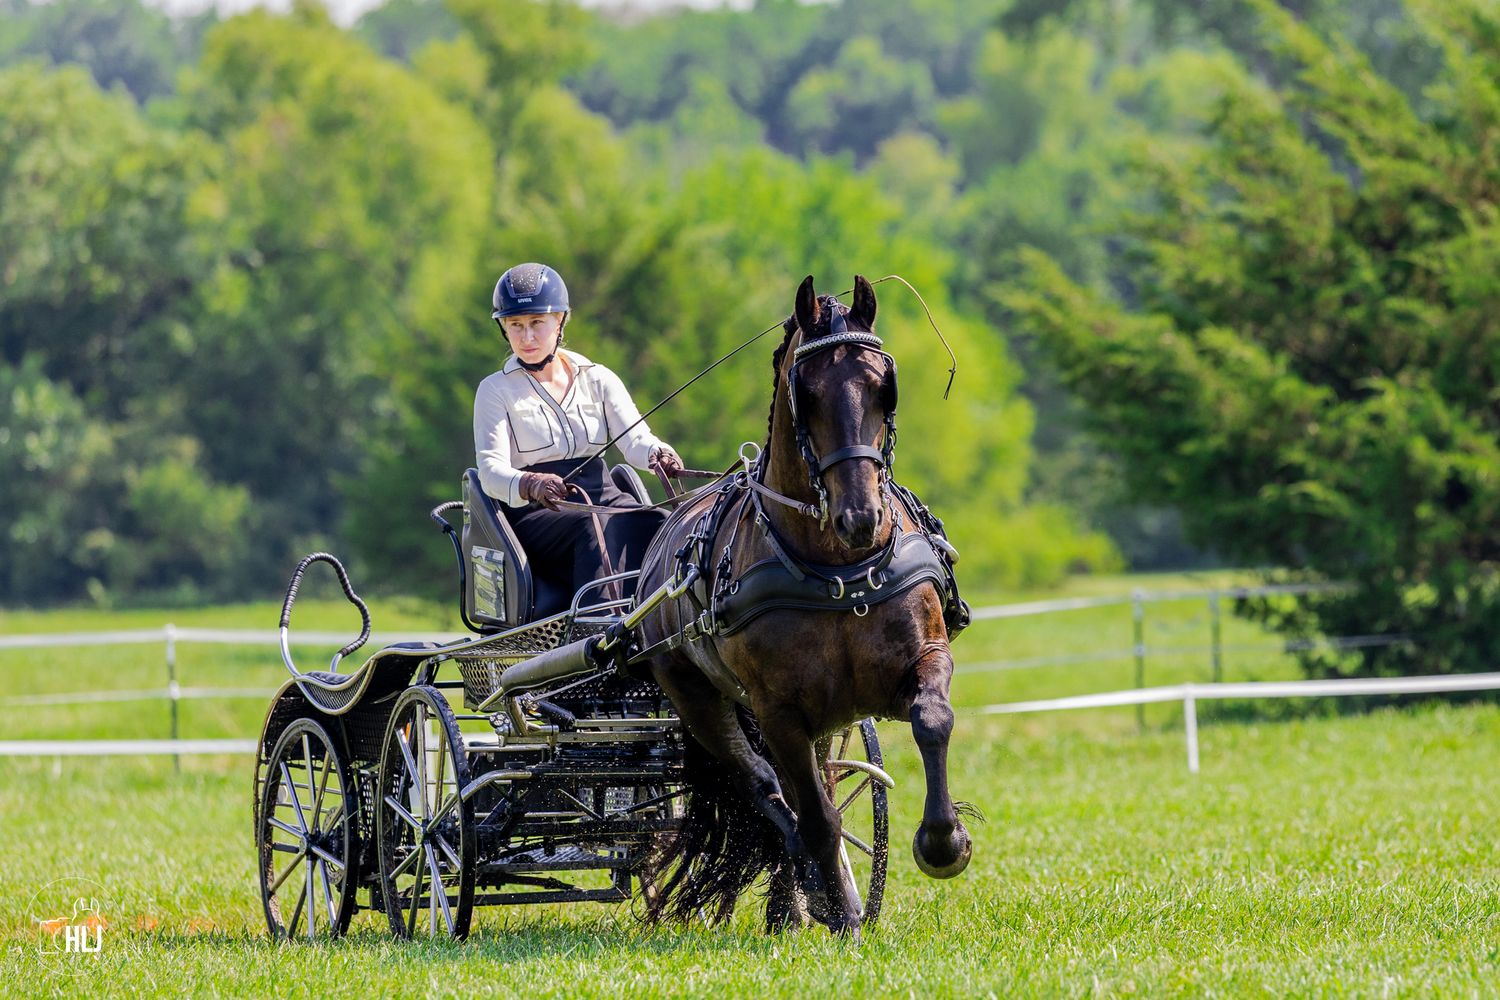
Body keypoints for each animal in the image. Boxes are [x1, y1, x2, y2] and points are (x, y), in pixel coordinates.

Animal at [632, 274, 974, 937]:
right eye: (806, 393)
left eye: (884, 387)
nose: (860, 517)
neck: (836, 569)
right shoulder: (778, 712)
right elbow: (812, 813)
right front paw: (839, 909)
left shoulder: (921, 659)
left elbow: (931, 720)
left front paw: (943, 842)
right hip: (698, 698)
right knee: (766, 786)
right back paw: (807, 887)